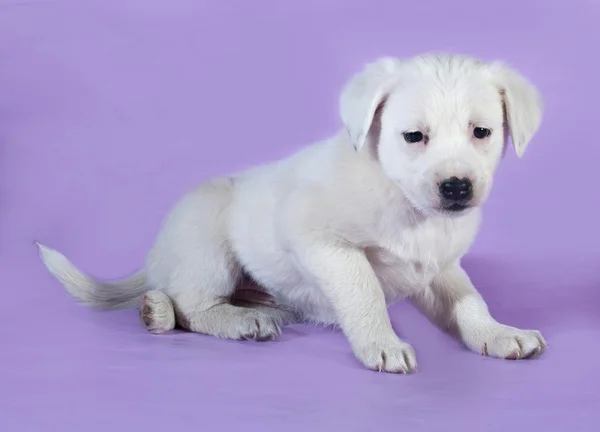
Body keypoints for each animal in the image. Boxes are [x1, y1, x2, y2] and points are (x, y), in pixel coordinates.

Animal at [38, 52, 548, 372]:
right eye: (413, 137)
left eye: (481, 132)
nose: (457, 187)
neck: (406, 205)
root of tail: (155, 256)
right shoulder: (322, 242)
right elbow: (364, 291)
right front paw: (381, 343)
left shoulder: (439, 267)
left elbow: (468, 301)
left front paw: (497, 332)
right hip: (208, 240)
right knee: (192, 306)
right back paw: (201, 317)